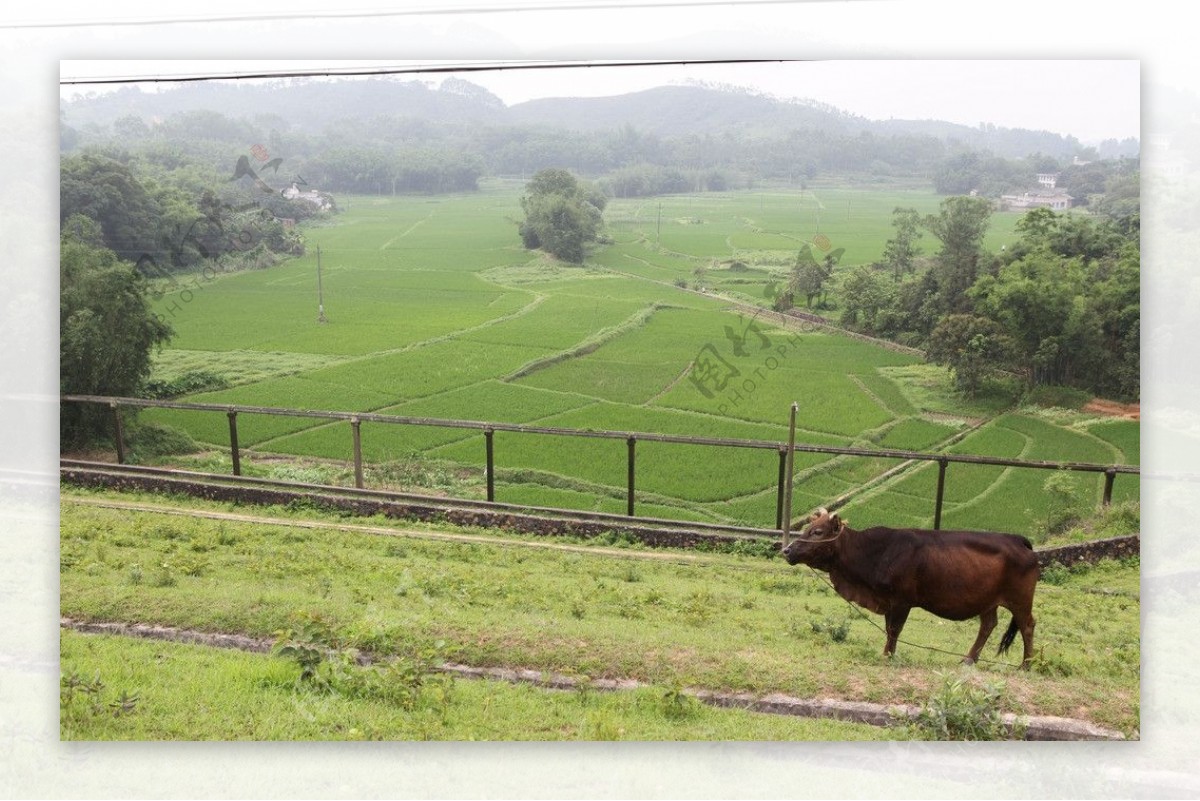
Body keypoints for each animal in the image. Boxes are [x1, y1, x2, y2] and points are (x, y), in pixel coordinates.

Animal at [782, 506, 1036, 671]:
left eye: (817, 532)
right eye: (808, 527)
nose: (786, 550)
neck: (875, 552)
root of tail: (1018, 540)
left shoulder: (902, 601)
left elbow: (895, 629)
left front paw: (886, 656)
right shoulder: (887, 601)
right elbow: (888, 629)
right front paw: (889, 653)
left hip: (1020, 600)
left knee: (1027, 626)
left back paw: (1026, 665)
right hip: (987, 601)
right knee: (988, 625)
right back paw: (968, 660)